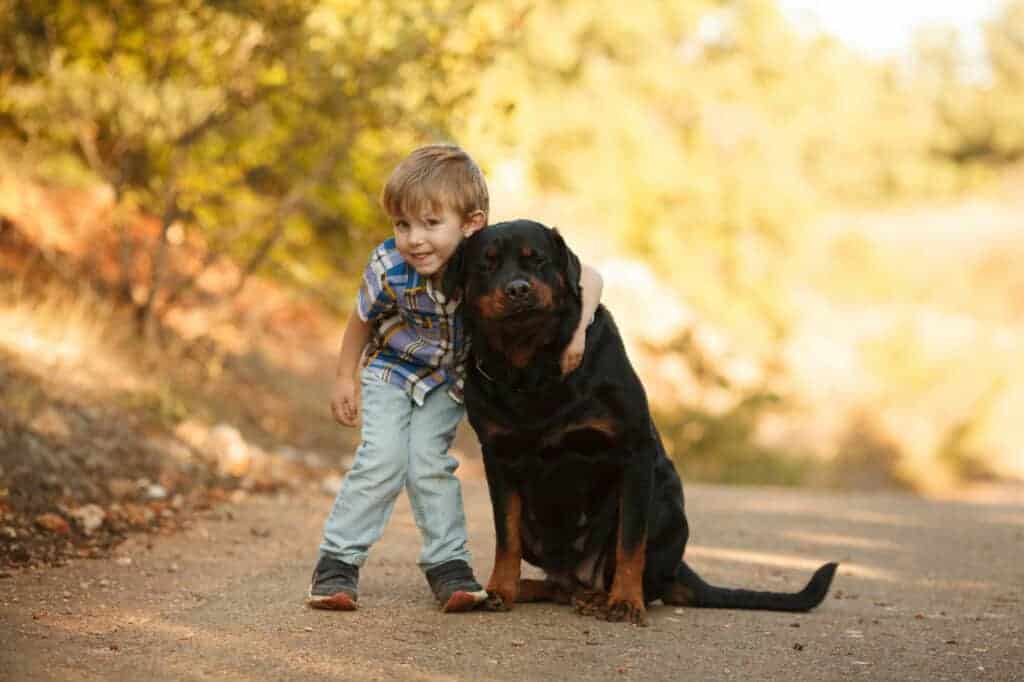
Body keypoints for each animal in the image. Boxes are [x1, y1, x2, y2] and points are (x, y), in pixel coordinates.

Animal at [444, 218, 835, 622]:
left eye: (536, 259)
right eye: (486, 265)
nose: (518, 288)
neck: (531, 369)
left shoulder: (633, 451)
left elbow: (630, 541)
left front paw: (625, 601)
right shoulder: (498, 458)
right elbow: (505, 537)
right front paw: (500, 589)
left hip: (666, 507)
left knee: (638, 575)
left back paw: (601, 597)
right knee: (558, 582)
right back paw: (527, 589)